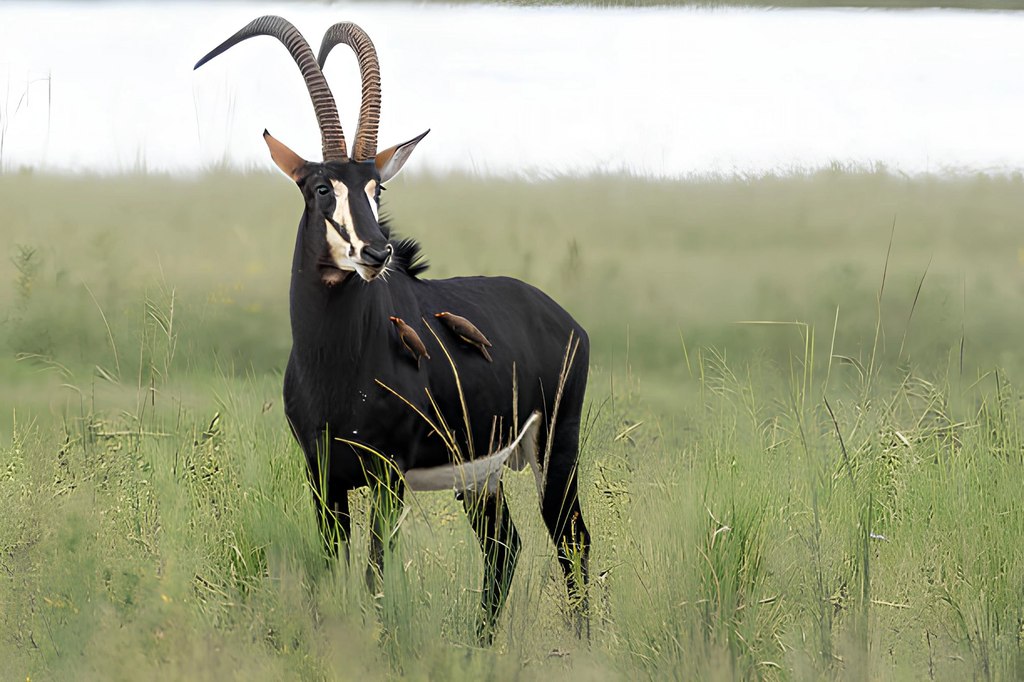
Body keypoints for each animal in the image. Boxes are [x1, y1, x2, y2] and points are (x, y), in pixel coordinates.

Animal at [195, 16, 592, 643]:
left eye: (376, 188)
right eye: (322, 187)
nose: (377, 252)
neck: (335, 362)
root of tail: (562, 318)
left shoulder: (387, 479)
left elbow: (374, 577)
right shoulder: (323, 477)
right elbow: (332, 569)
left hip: (556, 449)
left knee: (571, 540)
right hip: (480, 477)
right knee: (505, 548)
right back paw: (479, 646)